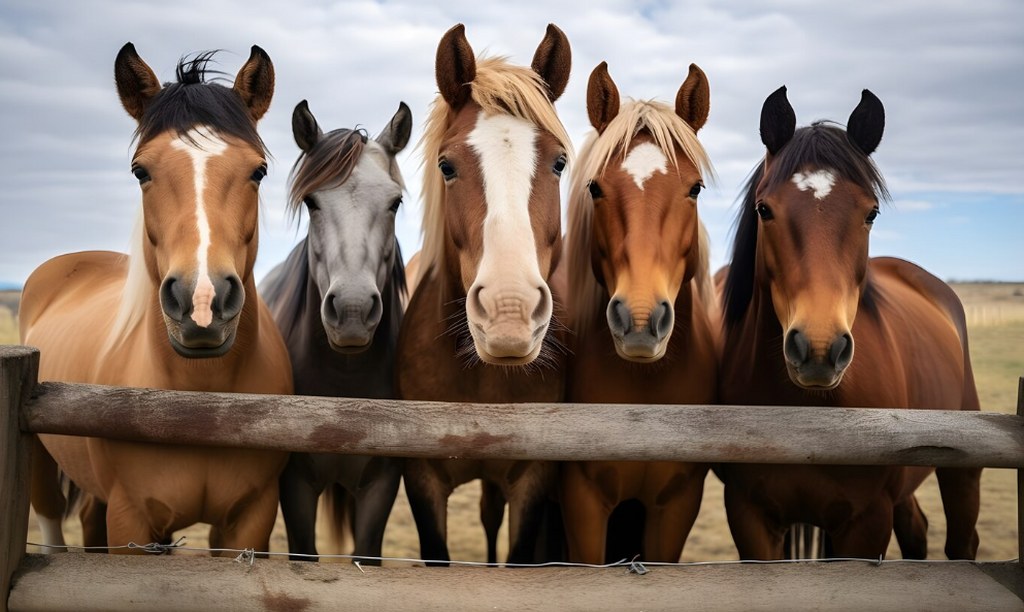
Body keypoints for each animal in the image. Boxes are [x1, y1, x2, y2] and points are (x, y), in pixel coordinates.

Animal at [20, 44, 292, 554]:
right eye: (140, 171)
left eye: (259, 171)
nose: (202, 301)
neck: (204, 404)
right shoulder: (131, 518)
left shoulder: (251, 518)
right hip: (41, 462)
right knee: (50, 523)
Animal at [715, 86, 981, 560]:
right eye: (764, 209)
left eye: (871, 212)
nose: (820, 349)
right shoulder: (750, 516)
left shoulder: (866, 522)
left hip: (962, 473)